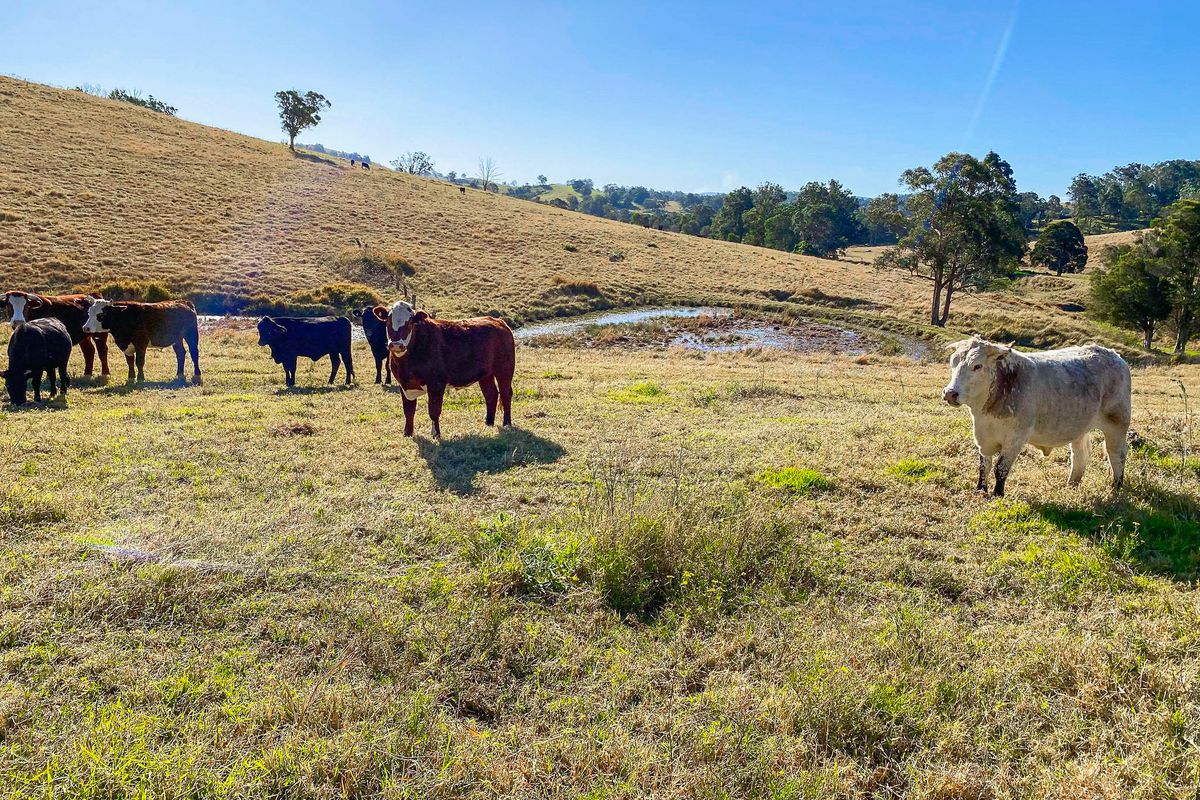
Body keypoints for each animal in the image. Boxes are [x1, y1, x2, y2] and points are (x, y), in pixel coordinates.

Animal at [372, 299, 518, 438]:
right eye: (388, 322)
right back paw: (488, 424)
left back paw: (507, 424)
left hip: (504, 369)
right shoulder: (404, 384)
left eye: (409, 323)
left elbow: (434, 410)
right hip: (486, 375)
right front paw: (407, 433)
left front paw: (435, 434)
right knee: (491, 394)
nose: (396, 345)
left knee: (505, 394)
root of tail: (498, 321)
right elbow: (408, 411)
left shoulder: (436, 384)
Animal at [940, 335, 1128, 494]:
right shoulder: (982, 437)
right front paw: (980, 491)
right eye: (952, 363)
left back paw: (1116, 487)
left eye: (977, 366)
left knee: (1116, 453)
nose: (950, 393)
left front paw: (998, 494)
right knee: (1080, 455)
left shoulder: (1015, 438)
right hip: (1079, 426)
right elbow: (984, 466)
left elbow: (1000, 468)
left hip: (1117, 423)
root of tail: (1114, 355)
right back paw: (1071, 486)